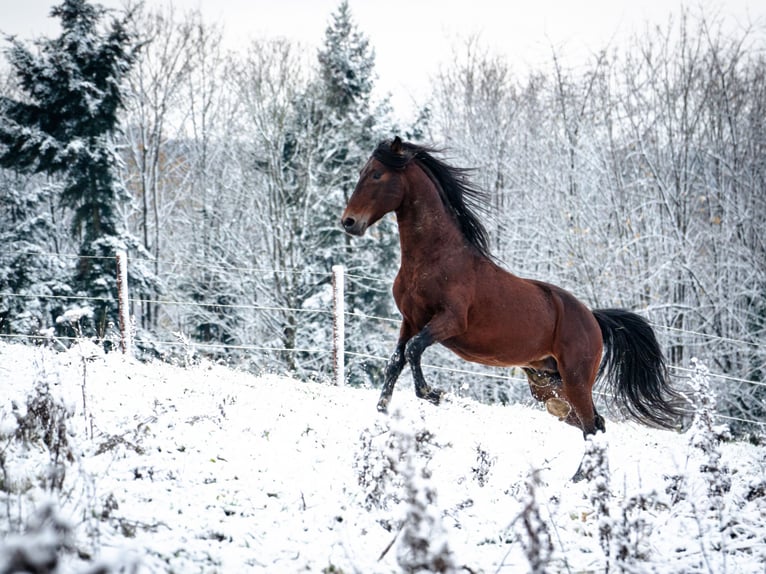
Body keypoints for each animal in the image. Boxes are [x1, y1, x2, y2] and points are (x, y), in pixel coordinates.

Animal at [340, 136, 685, 477]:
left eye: (376, 175)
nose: (349, 222)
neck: (435, 259)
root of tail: (593, 318)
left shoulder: (449, 322)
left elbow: (413, 350)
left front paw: (434, 394)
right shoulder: (409, 321)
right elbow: (396, 361)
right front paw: (382, 411)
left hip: (575, 380)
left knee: (592, 426)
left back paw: (580, 481)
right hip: (550, 390)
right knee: (595, 424)